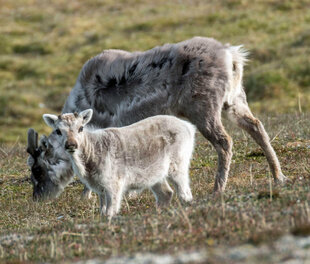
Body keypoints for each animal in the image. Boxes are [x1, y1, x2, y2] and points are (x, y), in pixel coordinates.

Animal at [42, 109, 195, 219]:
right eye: (58, 131)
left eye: (81, 128)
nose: (71, 144)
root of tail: (189, 127)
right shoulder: (100, 189)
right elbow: (102, 211)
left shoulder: (114, 183)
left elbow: (111, 211)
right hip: (155, 175)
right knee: (166, 193)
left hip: (179, 163)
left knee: (185, 194)